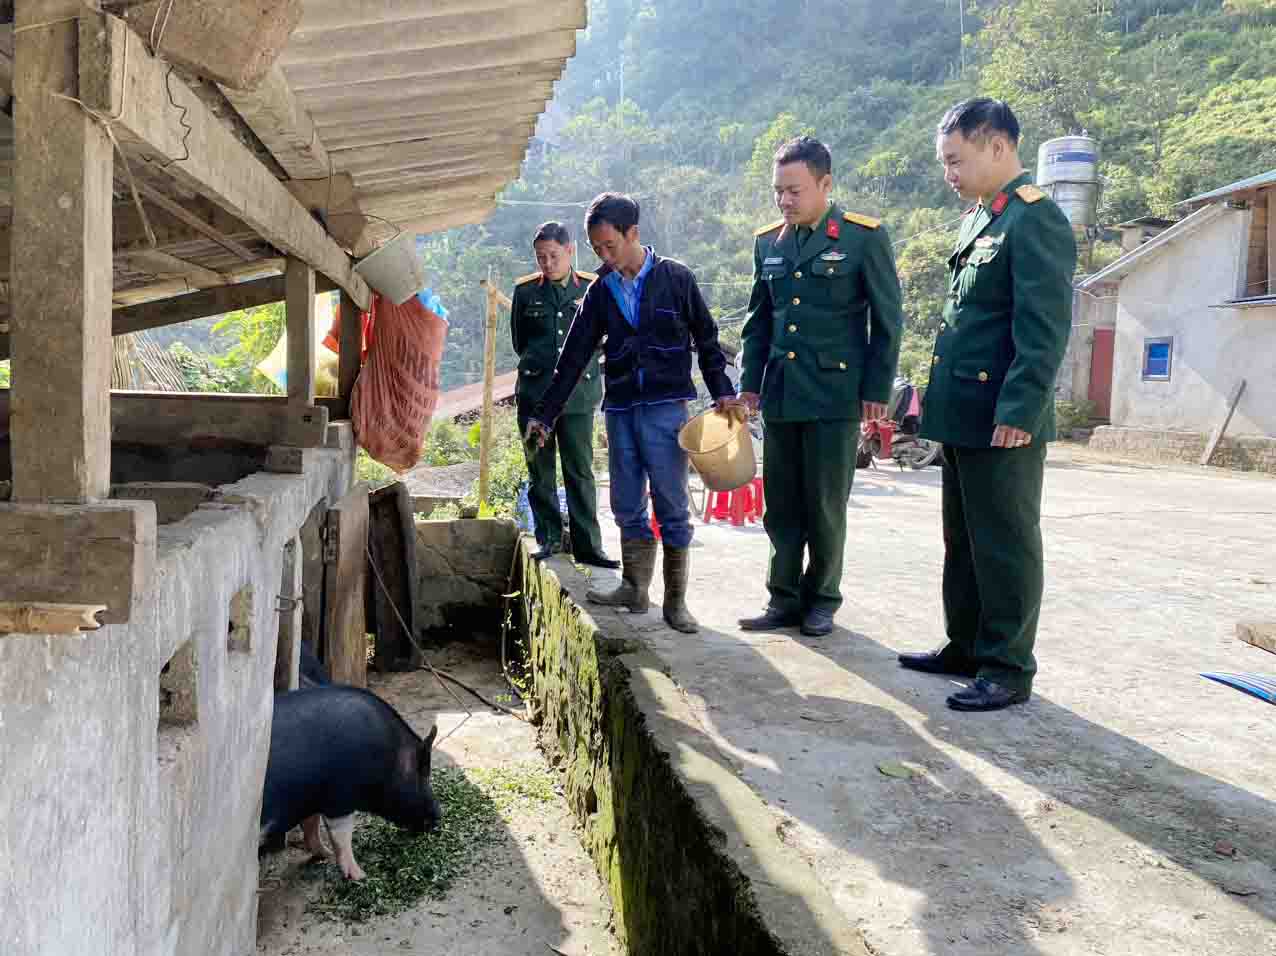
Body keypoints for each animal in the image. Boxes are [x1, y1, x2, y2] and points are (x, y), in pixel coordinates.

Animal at [256, 684, 441, 878]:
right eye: (422, 774)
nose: (438, 816)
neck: (386, 757)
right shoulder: (340, 798)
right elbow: (342, 835)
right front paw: (361, 876)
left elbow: (312, 823)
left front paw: (326, 854)